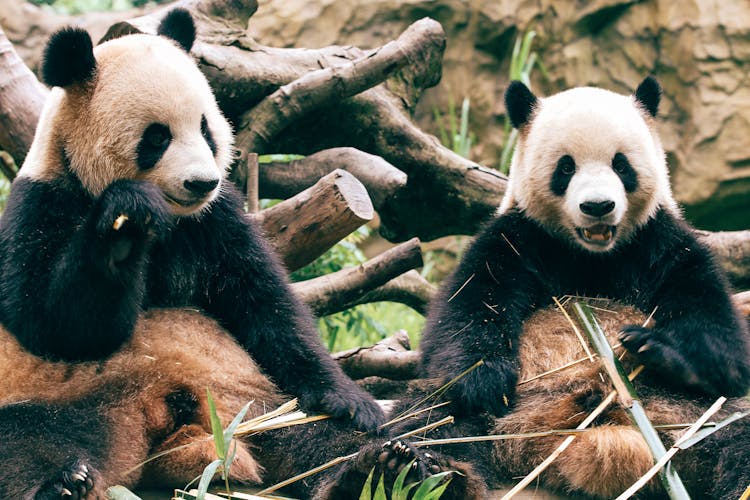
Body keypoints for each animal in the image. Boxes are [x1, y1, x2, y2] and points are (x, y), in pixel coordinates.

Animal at [0, 9, 400, 498]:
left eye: (207, 128)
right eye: (157, 138)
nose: (201, 182)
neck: (173, 220)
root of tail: (157, 422)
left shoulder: (215, 221)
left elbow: (266, 307)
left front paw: (350, 400)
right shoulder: (42, 204)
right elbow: (56, 327)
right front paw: (125, 223)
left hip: (252, 400)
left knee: (308, 430)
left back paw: (376, 468)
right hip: (56, 397)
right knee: (25, 439)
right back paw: (63, 482)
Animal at [418, 77, 750, 496]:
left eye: (621, 164)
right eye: (565, 167)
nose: (597, 206)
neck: (593, 256)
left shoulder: (661, 244)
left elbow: (724, 347)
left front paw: (655, 347)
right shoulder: (519, 238)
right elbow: (469, 310)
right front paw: (484, 381)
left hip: (693, 417)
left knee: (735, 435)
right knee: (432, 419)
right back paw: (407, 466)